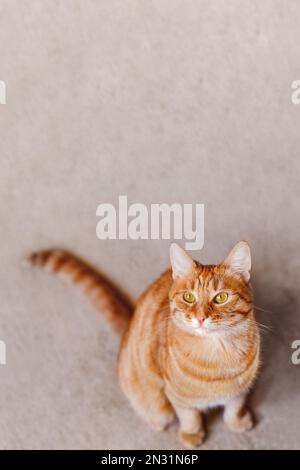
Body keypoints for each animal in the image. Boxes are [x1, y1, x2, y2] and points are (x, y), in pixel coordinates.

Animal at [29, 242, 262, 448]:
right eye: (189, 297)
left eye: (221, 297)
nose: (201, 317)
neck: (219, 354)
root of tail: (129, 325)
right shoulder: (177, 397)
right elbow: (190, 418)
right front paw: (192, 435)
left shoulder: (240, 390)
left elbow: (234, 409)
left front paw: (237, 422)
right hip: (156, 408)